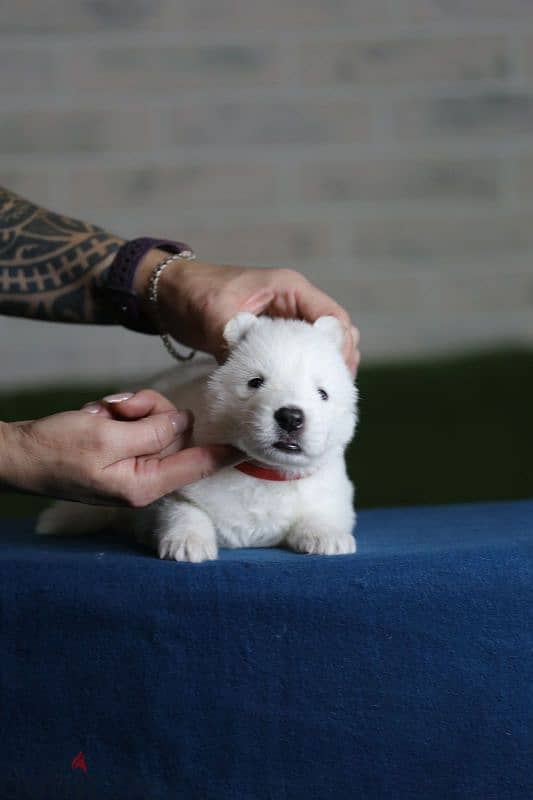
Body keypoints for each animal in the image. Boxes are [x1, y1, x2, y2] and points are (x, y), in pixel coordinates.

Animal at [38, 312, 358, 564]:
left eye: (322, 393)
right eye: (255, 382)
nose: (290, 417)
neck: (264, 473)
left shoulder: (332, 490)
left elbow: (324, 512)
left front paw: (328, 536)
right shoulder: (171, 491)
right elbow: (182, 509)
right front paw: (187, 542)